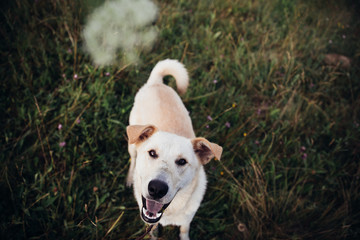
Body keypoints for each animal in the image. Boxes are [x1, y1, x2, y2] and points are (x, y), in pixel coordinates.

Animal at [126, 58, 222, 240]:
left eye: (182, 161)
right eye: (152, 153)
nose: (157, 189)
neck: (169, 212)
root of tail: (156, 82)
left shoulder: (186, 220)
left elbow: (184, 231)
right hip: (131, 143)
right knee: (133, 158)